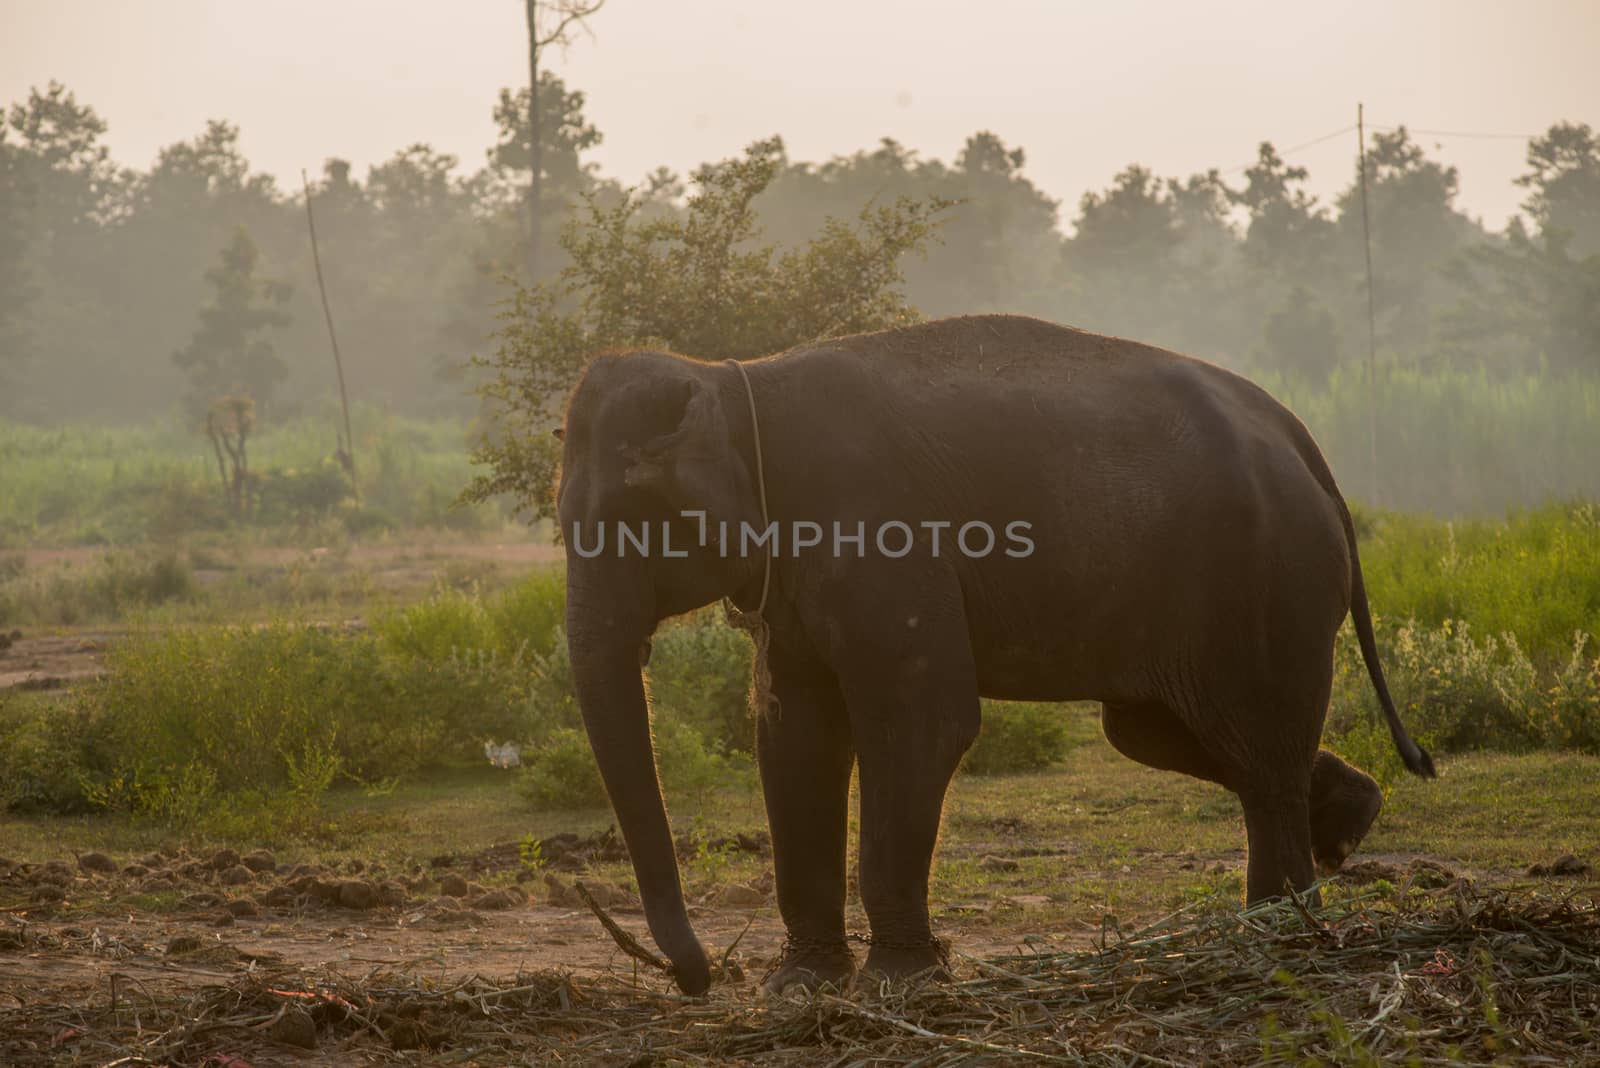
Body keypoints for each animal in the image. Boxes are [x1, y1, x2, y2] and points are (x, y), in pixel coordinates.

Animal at [553, 313, 1440, 997]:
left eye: (639, 515)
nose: (701, 979)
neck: (738, 381)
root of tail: (1301, 440)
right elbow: (793, 732)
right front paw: (801, 986)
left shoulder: (880, 531)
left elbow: (923, 720)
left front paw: (899, 982)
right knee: (1174, 736)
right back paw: (1345, 827)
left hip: (1265, 579)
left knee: (1251, 738)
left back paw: (1276, 931)